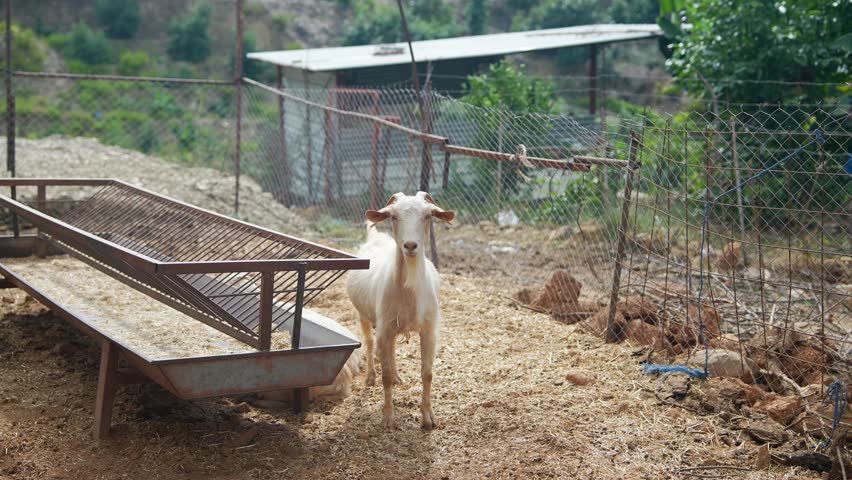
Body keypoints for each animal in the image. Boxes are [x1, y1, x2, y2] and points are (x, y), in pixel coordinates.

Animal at [347, 191, 455, 430]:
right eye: (394, 217)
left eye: (427, 215)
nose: (410, 245)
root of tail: (375, 237)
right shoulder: (384, 329)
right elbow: (385, 375)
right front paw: (388, 417)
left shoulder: (429, 330)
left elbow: (427, 374)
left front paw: (428, 418)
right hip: (365, 315)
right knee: (369, 343)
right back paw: (370, 377)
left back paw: (397, 376)